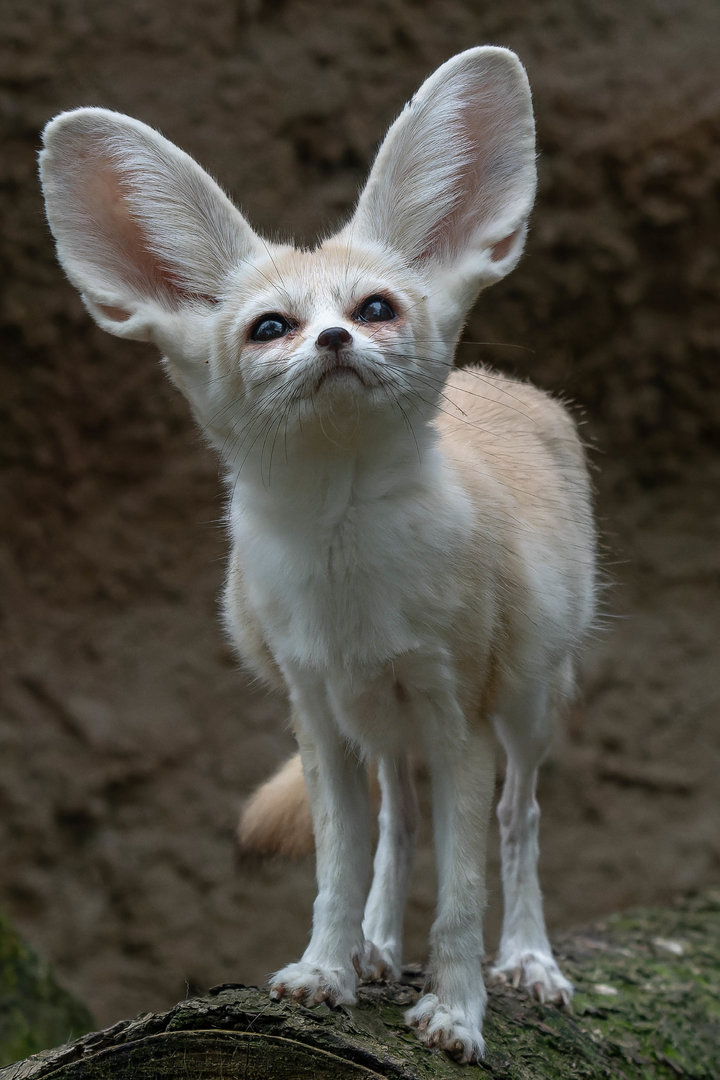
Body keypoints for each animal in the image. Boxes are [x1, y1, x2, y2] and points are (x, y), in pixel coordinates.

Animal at [39, 46, 596, 1062]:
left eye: (375, 309)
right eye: (271, 327)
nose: (335, 337)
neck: (347, 578)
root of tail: (511, 385)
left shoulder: (458, 712)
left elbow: (463, 891)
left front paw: (458, 1014)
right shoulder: (317, 710)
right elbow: (340, 861)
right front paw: (325, 969)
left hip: (529, 702)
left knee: (519, 818)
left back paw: (530, 961)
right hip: (379, 723)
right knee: (399, 821)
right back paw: (376, 948)